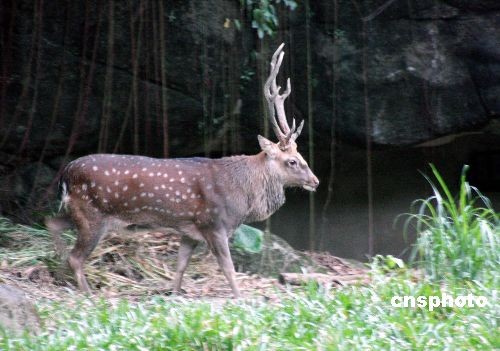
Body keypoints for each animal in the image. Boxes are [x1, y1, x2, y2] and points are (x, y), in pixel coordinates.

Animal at [45, 43, 318, 296]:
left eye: (301, 155)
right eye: (292, 161)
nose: (315, 181)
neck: (242, 198)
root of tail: (66, 173)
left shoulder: (190, 230)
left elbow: (181, 265)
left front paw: (174, 293)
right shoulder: (214, 223)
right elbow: (228, 268)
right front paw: (240, 298)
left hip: (77, 211)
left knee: (51, 222)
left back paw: (58, 271)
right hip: (92, 214)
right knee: (75, 256)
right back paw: (87, 291)